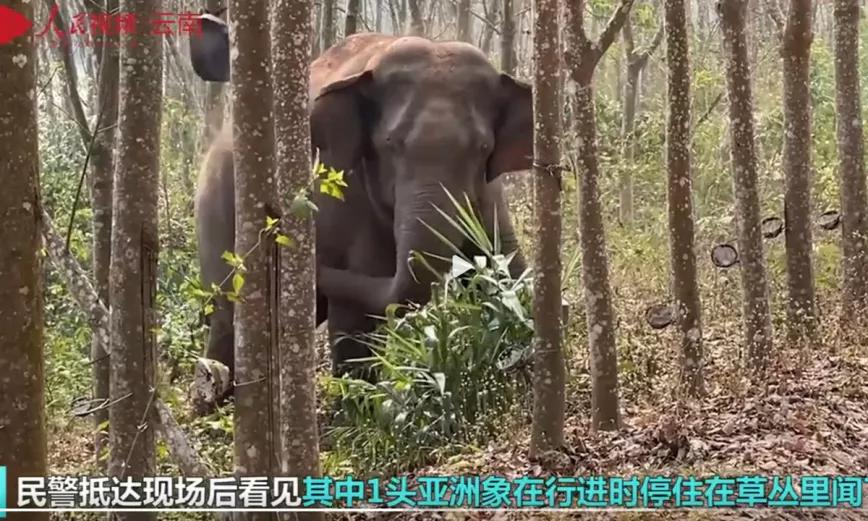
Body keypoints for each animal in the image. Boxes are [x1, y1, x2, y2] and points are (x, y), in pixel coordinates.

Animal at [189, 13, 534, 401]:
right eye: (390, 143)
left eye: (482, 147)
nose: (278, 228)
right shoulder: (344, 193)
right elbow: (356, 324)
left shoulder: (490, 196)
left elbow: (508, 272)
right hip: (217, 210)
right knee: (227, 317)